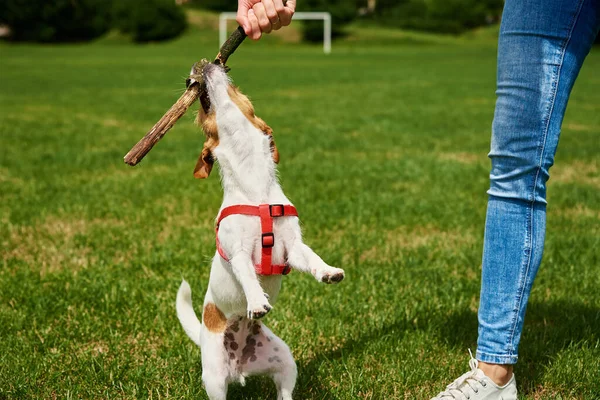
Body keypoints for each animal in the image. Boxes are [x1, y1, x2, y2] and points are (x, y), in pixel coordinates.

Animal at [176, 63, 344, 400]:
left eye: (238, 90)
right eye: (202, 115)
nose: (201, 65)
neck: (255, 188)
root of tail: (240, 368)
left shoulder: (292, 246)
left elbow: (312, 257)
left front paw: (328, 272)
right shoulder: (238, 251)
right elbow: (247, 274)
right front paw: (256, 301)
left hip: (284, 359)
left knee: (285, 391)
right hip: (214, 377)